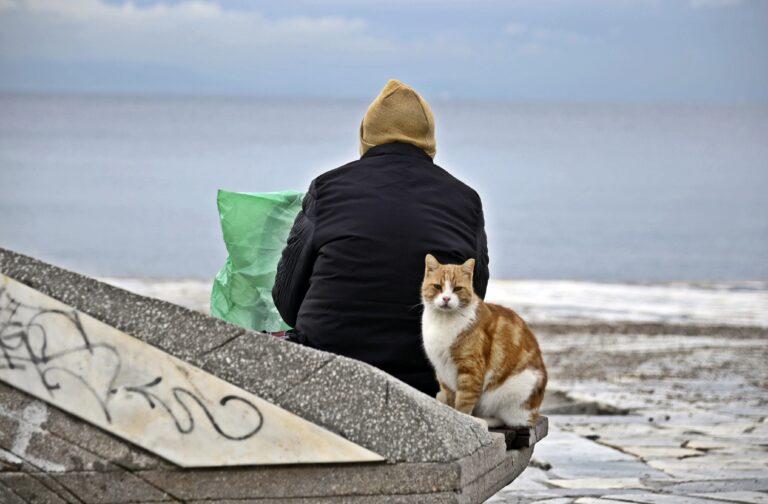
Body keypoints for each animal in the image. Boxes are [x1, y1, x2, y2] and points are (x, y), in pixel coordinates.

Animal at [420, 254, 544, 428]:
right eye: (438, 286)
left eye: (457, 289)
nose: (446, 298)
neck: (443, 321)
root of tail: (535, 413)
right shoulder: (442, 370)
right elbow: (450, 399)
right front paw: (449, 413)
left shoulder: (471, 370)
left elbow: (463, 403)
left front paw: (463, 419)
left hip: (514, 389)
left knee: (508, 419)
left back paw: (483, 420)